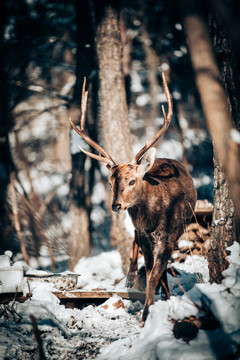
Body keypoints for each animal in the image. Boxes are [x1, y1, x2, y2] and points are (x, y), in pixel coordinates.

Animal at [69, 74, 197, 320]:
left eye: (132, 181)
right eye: (110, 182)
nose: (116, 205)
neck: (156, 217)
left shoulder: (169, 236)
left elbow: (155, 273)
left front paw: (147, 314)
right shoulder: (145, 236)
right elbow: (149, 271)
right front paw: (148, 307)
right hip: (139, 232)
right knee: (135, 248)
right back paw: (129, 278)